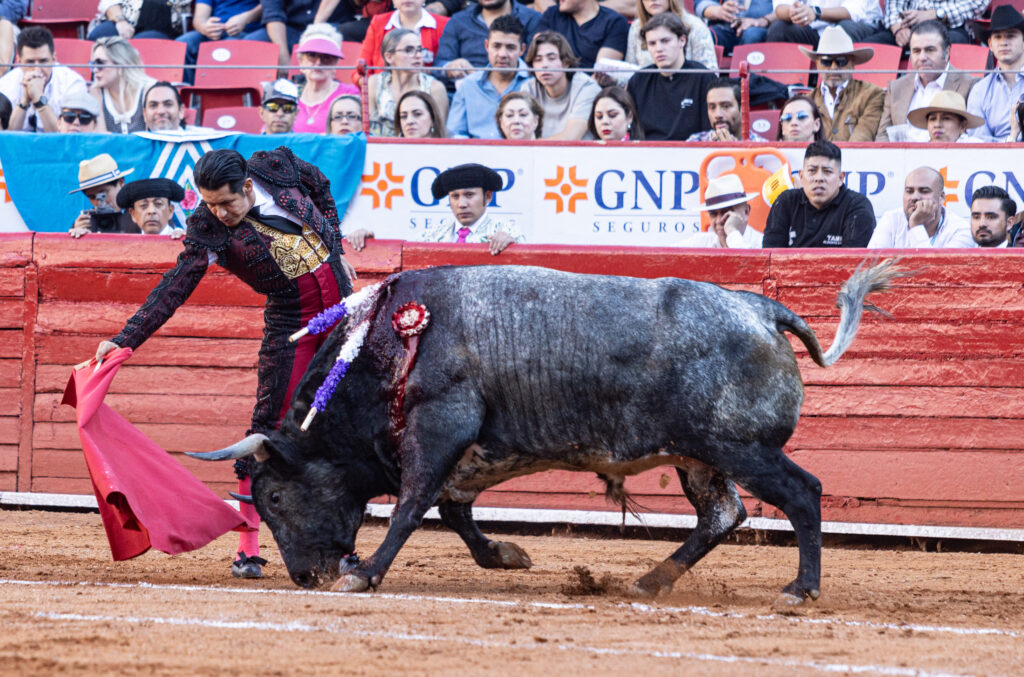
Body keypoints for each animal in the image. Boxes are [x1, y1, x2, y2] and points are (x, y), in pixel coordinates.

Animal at [190, 259, 897, 602]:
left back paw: (800, 589)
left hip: (742, 447)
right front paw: (507, 555)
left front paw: (364, 576)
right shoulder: (474, 450)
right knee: (722, 515)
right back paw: (650, 581)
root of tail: (760, 307)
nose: (304, 577)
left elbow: (413, 505)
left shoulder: (440, 424)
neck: (388, 347)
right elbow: (454, 510)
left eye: (273, 497)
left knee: (802, 494)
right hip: (700, 456)